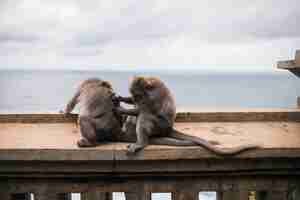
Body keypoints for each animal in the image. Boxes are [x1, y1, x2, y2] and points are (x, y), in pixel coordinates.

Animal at [113, 76, 258, 155]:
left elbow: (142, 110)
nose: (135, 98)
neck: (150, 86)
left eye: (138, 95)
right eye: (133, 95)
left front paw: (120, 109)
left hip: (160, 126)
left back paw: (141, 143)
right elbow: (136, 108)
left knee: (145, 117)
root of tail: (169, 128)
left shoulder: (151, 97)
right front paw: (121, 99)